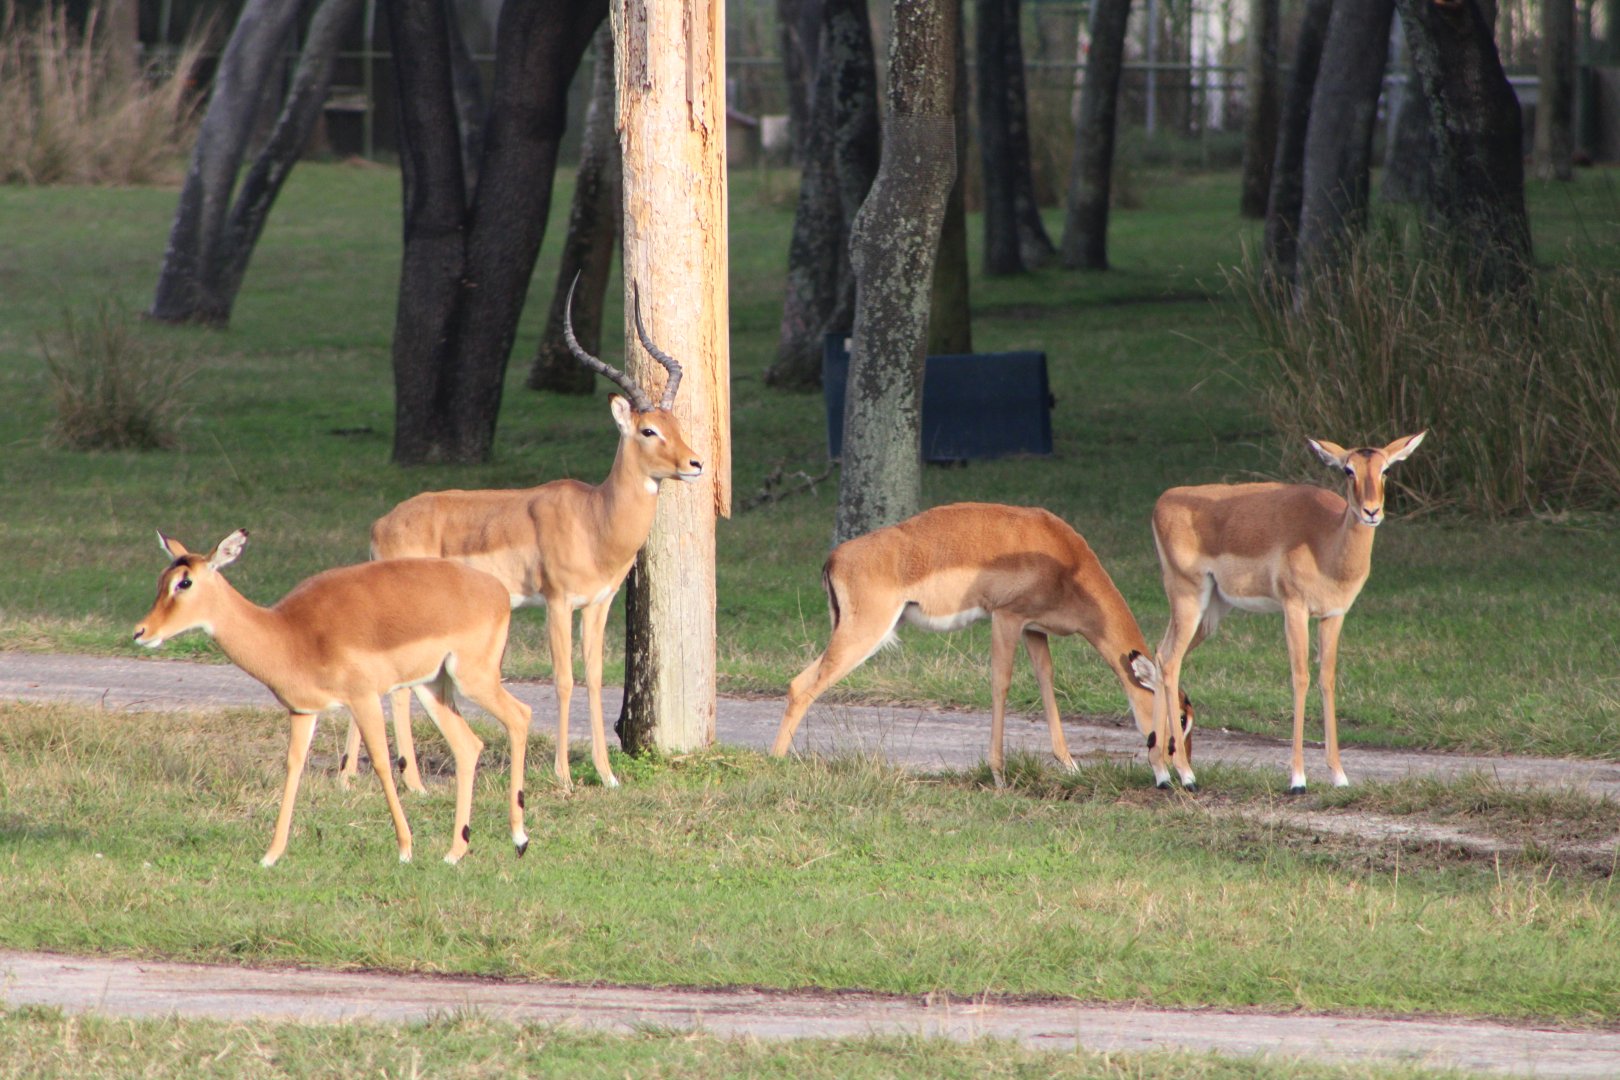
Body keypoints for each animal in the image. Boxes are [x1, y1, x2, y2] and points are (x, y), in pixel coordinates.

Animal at [132, 530, 534, 866]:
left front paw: (405, 850)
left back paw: (519, 839)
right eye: (162, 580)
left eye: (185, 582)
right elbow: (294, 766)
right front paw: (271, 855)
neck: (289, 634)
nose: (140, 631)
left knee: (520, 715)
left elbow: (381, 762)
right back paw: (455, 852)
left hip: (473, 679)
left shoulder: (363, 699)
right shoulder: (303, 711)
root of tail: (496, 591)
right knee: (468, 745)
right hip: (432, 688)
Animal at [361, 281, 703, 793]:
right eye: (648, 430)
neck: (594, 517)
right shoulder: (558, 603)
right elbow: (563, 679)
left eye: (676, 426)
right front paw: (564, 776)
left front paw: (606, 774)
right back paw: (416, 785)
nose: (694, 463)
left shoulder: (598, 604)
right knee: (401, 688)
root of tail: (381, 524)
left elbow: (595, 677)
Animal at [769, 503, 1196, 788]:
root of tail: (835, 558)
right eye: (1181, 719)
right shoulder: (1006, 618)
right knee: (804, 687)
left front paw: (1070, 764)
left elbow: (1046, 684)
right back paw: (775, 762)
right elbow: (1000, 683)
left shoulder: (1033, 629)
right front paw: (998, 773)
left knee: (796, 682)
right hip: (863, 635)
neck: (1065, 560)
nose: (1182, 776)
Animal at [1150, 432, 1427, 793]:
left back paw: (1161, 774)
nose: (1371, 511)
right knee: (1170, 661)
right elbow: (1301, 677)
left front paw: (1339, 776)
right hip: (1188, 598)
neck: (1327, 542)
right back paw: (1187, 775)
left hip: (1210, 612)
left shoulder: (1333, 615)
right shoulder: (1294, 608)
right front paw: (1297, 779)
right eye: (1348, 470)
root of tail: (1164, 500)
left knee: (1160, 654)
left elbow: (1327, 679)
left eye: (1386, 469)